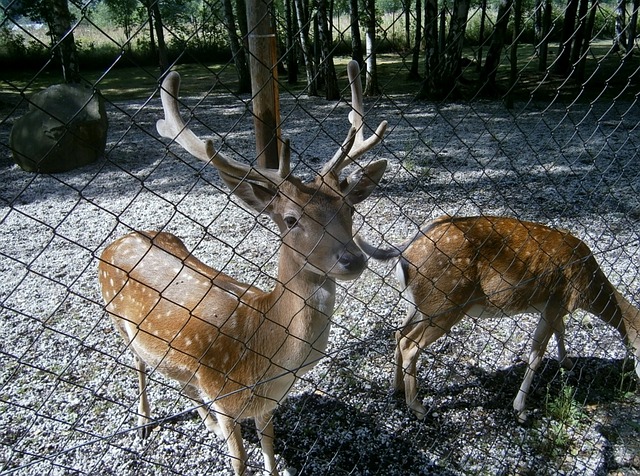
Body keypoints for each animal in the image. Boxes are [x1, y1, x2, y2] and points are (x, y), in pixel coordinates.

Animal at [98, 61, 388, 474]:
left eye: (349, 208)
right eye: (290, 219)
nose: (353, 258)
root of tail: (119, 239)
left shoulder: (266, 405)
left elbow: (268, 445)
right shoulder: (223, 394)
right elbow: (239, 461)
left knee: (176, 377)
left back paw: (204, 422)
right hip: (116, 320)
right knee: (138, 363)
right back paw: (143, 422)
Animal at [358, 214, 640, 422]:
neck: (589, 287)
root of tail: (404, 252)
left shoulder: (552, 307)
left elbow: (560, 332)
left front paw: (567, 362)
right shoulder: (557, 301)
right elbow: (536, 355)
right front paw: (521, 410)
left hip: (418, 304)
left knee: (398, 333)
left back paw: (395, 388)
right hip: (446, 302)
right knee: (410, 344)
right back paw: (418, 408)